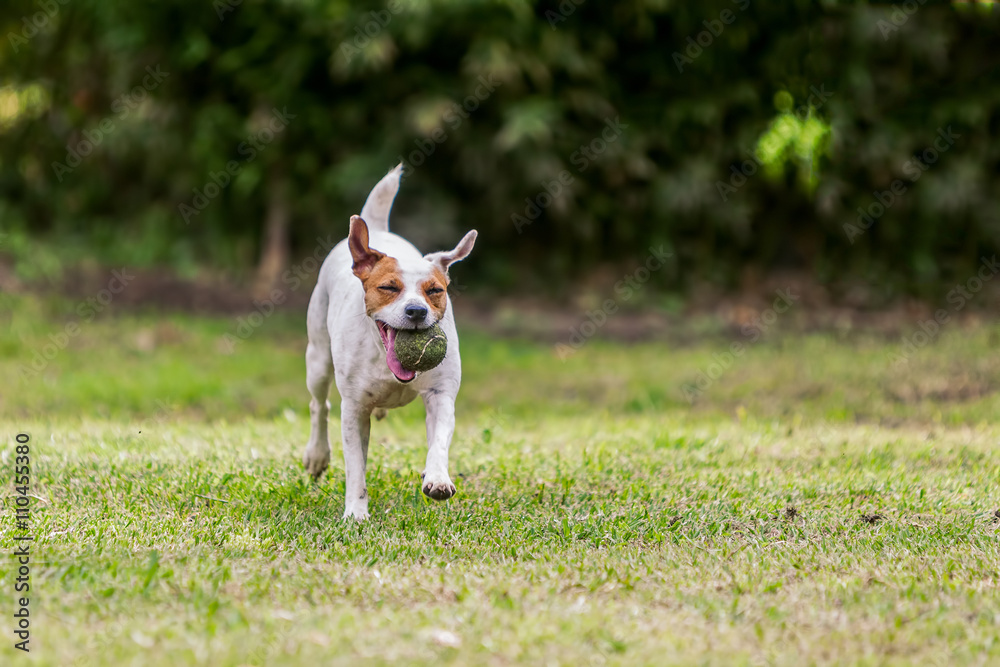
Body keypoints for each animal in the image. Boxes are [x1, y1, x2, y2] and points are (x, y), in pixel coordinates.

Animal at [300, 164, 476, 520]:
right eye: (389, 287)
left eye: (434, 290)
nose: (416, 311)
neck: (385, 360)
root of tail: (377, 229)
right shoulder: (354, 408)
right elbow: (356, 466)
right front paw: (356, 512)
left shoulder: (441, 393)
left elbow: (439, 440)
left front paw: (437, 478)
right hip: (318, 359)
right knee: (319, 405)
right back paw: (317, 453)